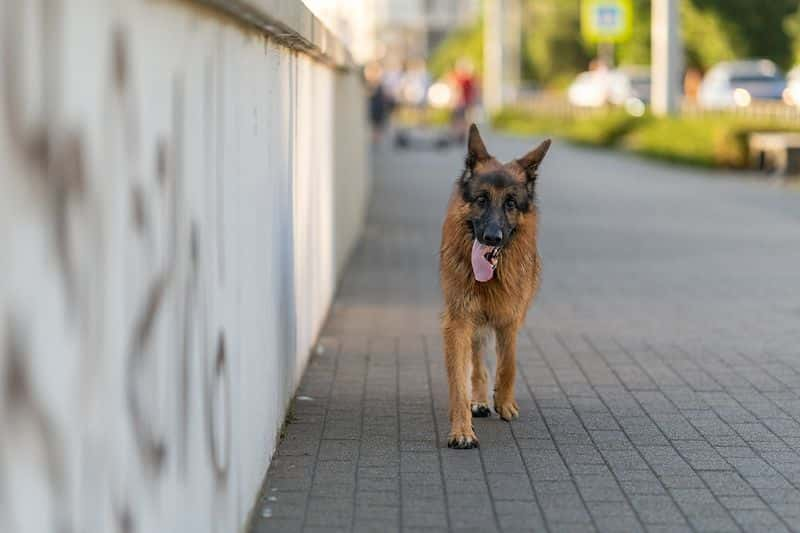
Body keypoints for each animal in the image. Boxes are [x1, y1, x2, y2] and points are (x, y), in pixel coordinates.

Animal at [438, 122, 552, 446]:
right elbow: (459, 381)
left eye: (511, 203)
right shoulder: (458, 322)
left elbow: (508, 362)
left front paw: (505, 402)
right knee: (476, 361)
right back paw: (477, 400)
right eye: (481, 200)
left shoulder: (510, 318)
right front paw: (462, 430)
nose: (491, 238)